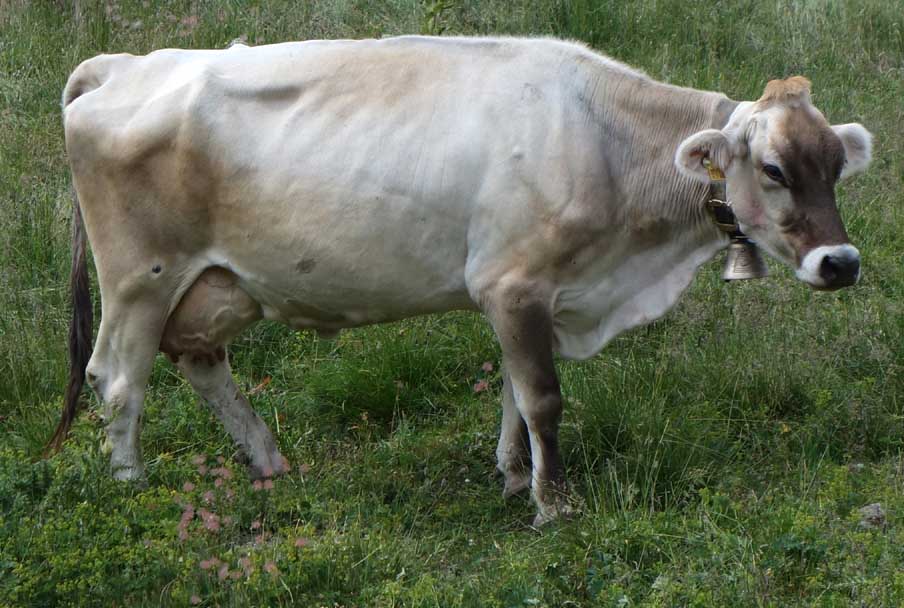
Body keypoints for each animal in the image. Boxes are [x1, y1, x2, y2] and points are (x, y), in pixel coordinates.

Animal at [48, 36, 872, 525]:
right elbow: (542, 399)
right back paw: (130, 486)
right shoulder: (514, 284)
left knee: (199, 362)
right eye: (774, 169)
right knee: (117, 378)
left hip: (216, 285)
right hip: (140, 279)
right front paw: (551, 504)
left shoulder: (525, 292)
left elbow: (511, 388)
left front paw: (512, 475)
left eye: (836, 166)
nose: (841, 262)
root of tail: (123, 63)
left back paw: (268, 460)